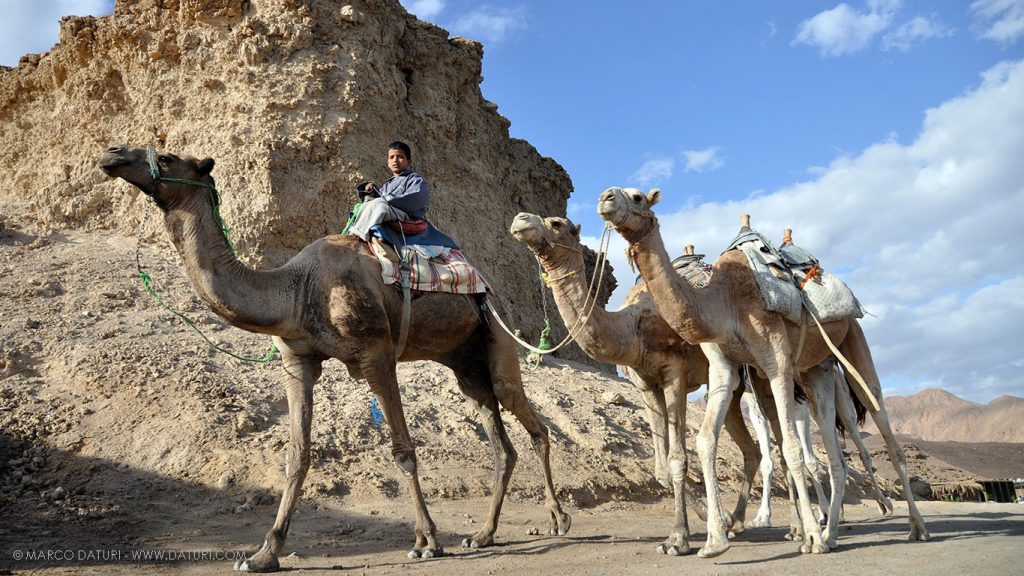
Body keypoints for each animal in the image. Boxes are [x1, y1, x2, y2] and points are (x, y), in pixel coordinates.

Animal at [96, 146, 573, 569]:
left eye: (168, 157)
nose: (112, 153)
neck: (296, 289)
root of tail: (488, 289)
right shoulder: (298, 361)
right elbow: (297, 454)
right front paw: (264, 553)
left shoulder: (376, 355)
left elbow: (402, 449)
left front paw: (426, 541)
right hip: (466, 365)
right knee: (500, 443)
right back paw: (484, 534)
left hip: (497, 330)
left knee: (527, 416)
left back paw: (558, 520)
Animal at [512, 211, 761, 553]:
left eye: (557, 224)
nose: (520, 220)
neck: (631, 329)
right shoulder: (645, 384)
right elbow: (660, 468)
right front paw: (704, 520)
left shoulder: (675, 373)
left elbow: (677, 459)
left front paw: (679, 538)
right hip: (731, 388)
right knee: (752, 450)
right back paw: (735, 521)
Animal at [598, 184, 933, 557]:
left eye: (638, 197)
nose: (605, 197)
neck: (724, 302)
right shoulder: (724, 369)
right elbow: (705, 441)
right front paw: (715, 541)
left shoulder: (777, 365)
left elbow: (791, 450)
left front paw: (809, 538)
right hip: (817, 370)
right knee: (835, 455)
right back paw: (831, 533)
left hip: (854, 341)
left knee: (880, 420)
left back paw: (914, 528)